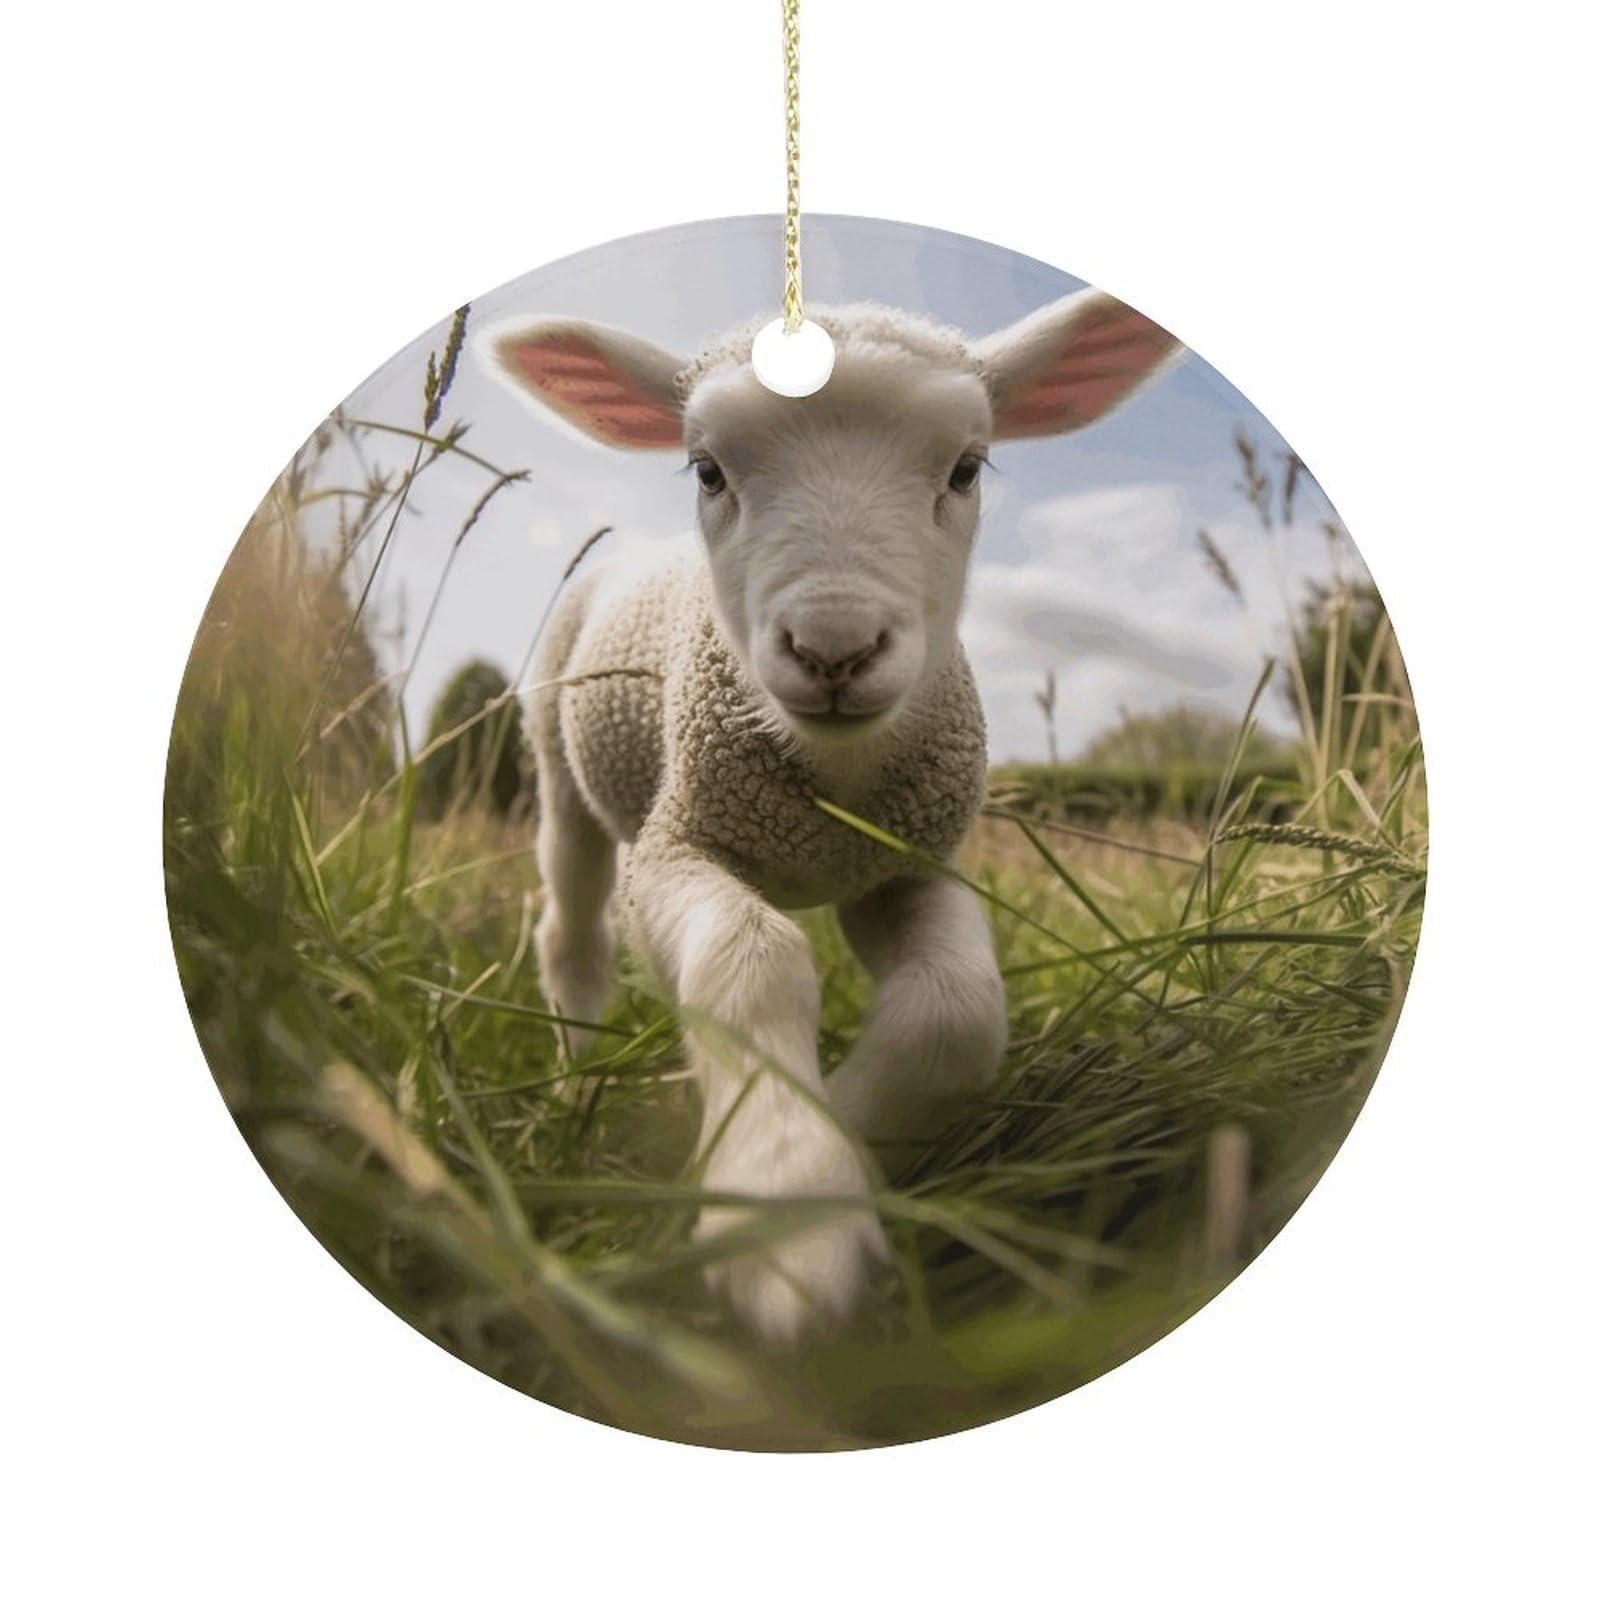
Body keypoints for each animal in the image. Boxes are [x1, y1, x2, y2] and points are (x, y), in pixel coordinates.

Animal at [481, 290, 1182, 1340]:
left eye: (966, 467)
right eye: (708, 470)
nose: (834, 649)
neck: (830, 786)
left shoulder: (907, 863)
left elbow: (955, 1014)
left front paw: (846, 1132)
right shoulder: (677, 844)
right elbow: (751, 960)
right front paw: (787, 1207)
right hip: (562, 767)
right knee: (573, 932)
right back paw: (576, 1085)